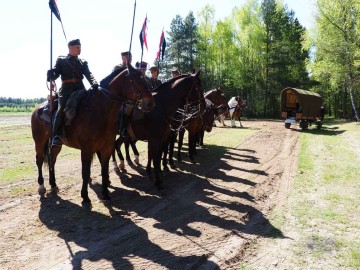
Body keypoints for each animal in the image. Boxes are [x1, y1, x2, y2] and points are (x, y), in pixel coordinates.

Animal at [31, 65, 155, 209]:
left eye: (145, 79)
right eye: (134, 80)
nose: (150, 103)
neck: (99, 110)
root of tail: (38, 109)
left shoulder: (106, 147)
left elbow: (104, 169)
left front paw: (105, 194)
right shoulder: (86, 150)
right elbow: (85, 173)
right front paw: (85, 198)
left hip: (57, 143)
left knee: (52, 159)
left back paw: (53, 184)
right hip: (39, 141)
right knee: (39, 160)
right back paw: (41, 186)